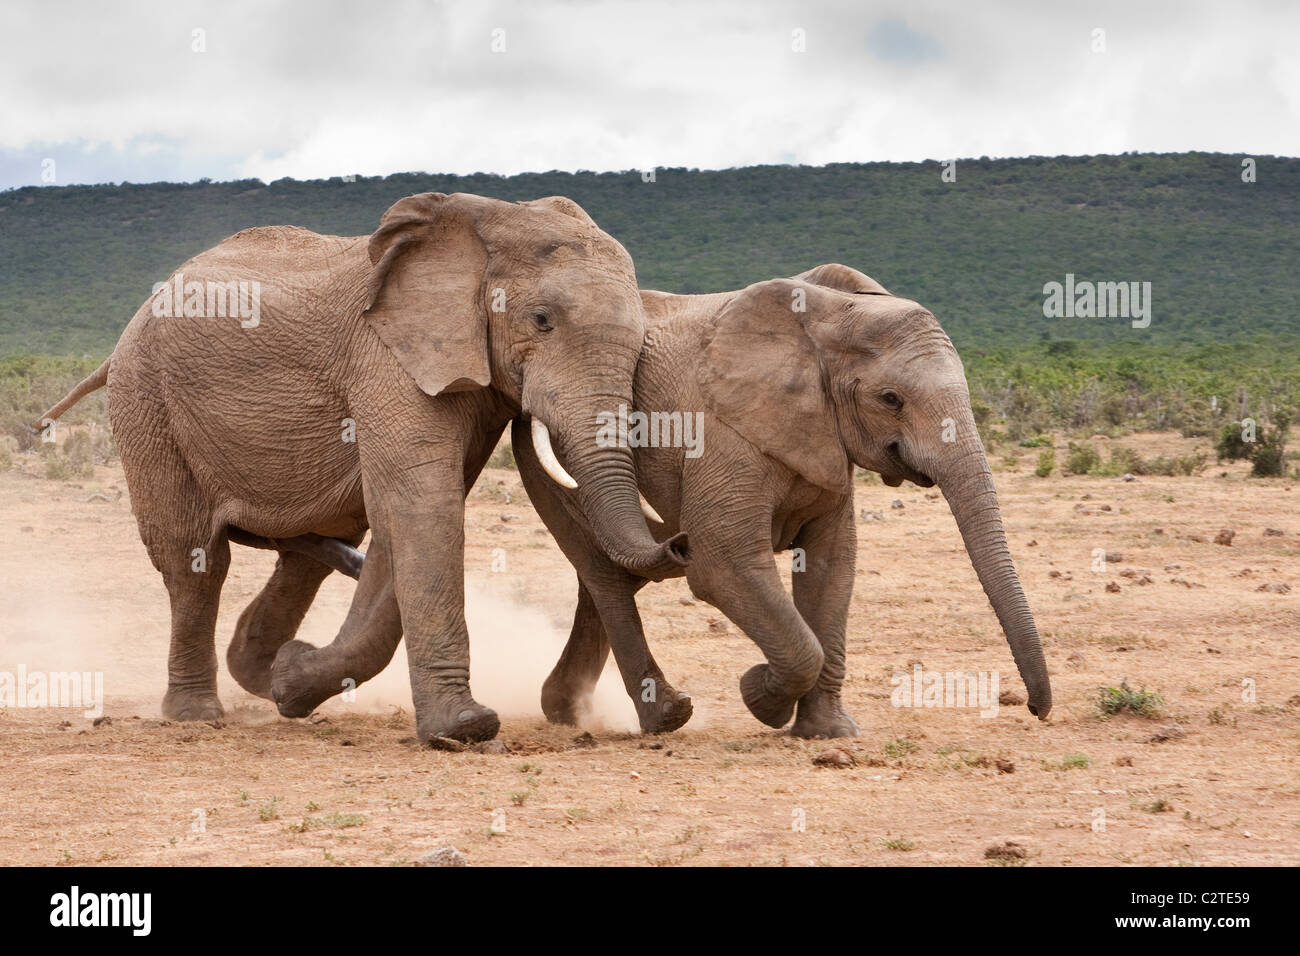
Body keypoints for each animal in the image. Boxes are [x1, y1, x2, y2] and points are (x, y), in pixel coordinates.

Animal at [27, 191, 691, 743]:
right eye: (543, 320)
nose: (681, 543)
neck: (486, 222)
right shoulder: (386, 360)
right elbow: (423, 505)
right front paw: (464, 730)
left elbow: (406, 518)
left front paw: (294, 681)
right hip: (147, 400)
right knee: (195, 561)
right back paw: (198, 714)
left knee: (307, 556)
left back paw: (266, 668)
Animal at [509, 265, 1055, 738]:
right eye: (890, 399)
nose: (1036, 709)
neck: (833, 319)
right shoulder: (723, 431)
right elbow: (723, 563)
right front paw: (760, 698)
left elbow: (832, 567)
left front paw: (829, 733)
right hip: (546, 454)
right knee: (603, 572)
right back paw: (663, 716)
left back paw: (566, 708)